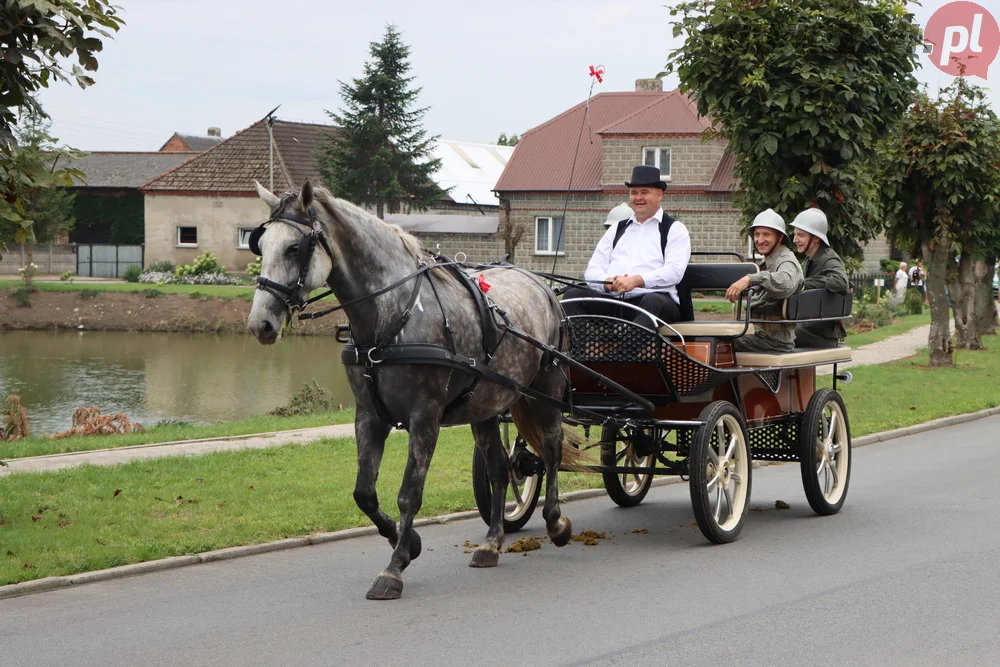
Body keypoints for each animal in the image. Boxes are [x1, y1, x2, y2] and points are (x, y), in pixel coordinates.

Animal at [247, 181, 576, 600]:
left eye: (293, 248)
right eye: (261, 244)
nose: (260, 324)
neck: (392, 315)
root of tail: (545, 287)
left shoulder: (425, 418)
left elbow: (409, 493)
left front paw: (396, 566)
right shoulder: (369, 416)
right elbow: (364, 493)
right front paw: (407, 541)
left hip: (544, 392)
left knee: (551, 452)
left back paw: (555, 522)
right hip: (485, 407)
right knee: (500, 470)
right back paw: (491, 542)